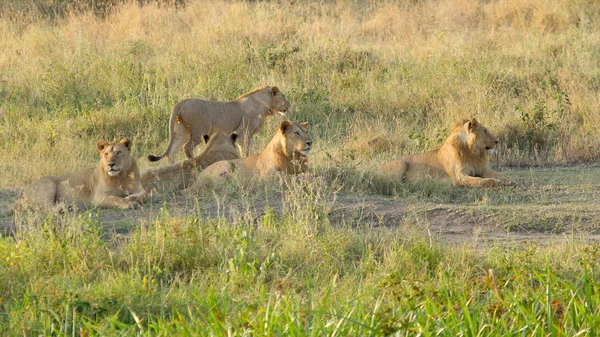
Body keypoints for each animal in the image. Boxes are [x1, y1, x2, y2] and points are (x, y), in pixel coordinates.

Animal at [20, 136, 148, 210]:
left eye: (119, 152)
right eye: (106, 154)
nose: (110, 164)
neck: (119, 177)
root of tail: (23, 193)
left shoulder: (138, 188)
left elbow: (144, 195)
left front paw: (131, 197)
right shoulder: (99, 197)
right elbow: (117, 199)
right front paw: (129, 203)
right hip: (48, 185)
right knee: (47, 207)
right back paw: (63, 208)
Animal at [150, 84, 290, 162]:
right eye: (284, 96)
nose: (289, 105)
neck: (264, 105)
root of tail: (181, 103)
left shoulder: (249, 135)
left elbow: (253, 149)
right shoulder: (242, 133)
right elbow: (245, 151)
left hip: (180, 131)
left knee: (171, 152)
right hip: (200, 130)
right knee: (187, 147)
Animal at [380, 117, 516, 186]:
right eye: (486, 131)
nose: (497, 141)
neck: (473, 153)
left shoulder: (483, 169)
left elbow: (498, 175)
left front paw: (510, 181)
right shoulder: (459, 176)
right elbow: (482, 181)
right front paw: (496, 183)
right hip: (400, 163)